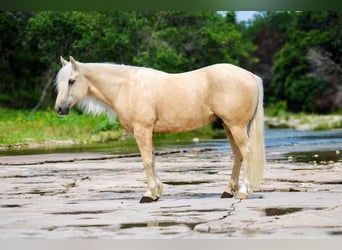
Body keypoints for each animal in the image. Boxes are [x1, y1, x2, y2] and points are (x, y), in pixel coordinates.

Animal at [54, 56, 266, 203]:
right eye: (60, 82)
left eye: (71, 80)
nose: (59, 109)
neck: (127, 86)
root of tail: (250, 76)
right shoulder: (147, 132)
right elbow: (153, 160)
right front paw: (156, 192)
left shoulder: (142, 130)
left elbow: (147, 161)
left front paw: (148, 194)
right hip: (228, 126)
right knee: (238, 156)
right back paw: (228, 191)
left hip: (236, 126)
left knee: (246, 153)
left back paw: (243, 192)